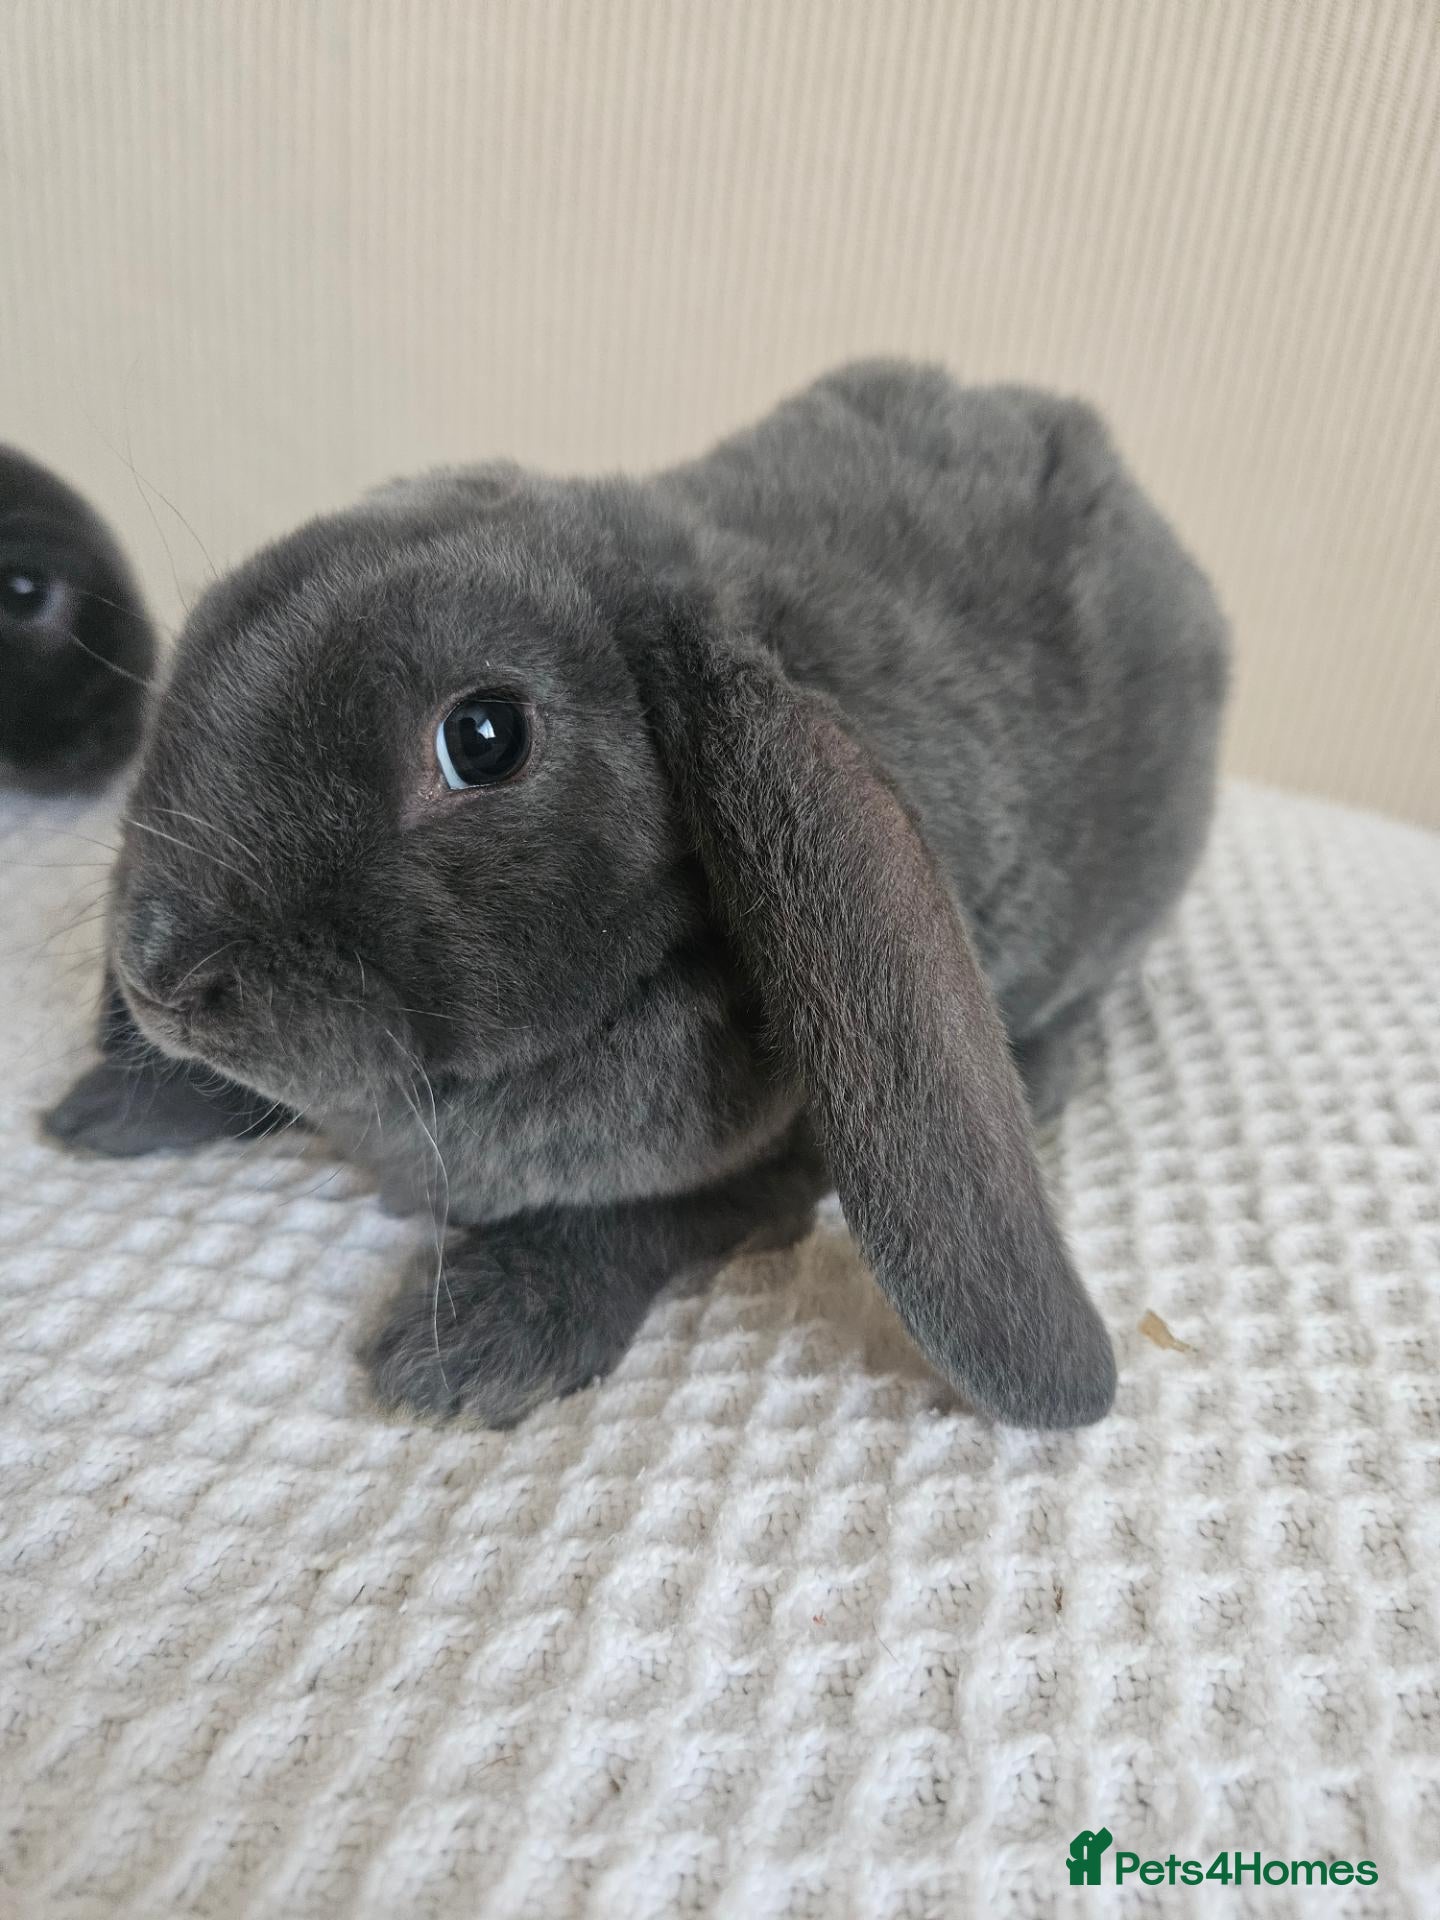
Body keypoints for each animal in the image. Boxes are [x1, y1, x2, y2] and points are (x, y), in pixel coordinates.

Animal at [43, 361, 1229, 1430]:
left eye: (483, 738)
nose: (158, 982)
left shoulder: (782, 1166)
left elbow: (635, 1222)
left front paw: (473, 1344)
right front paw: (118, 1105)